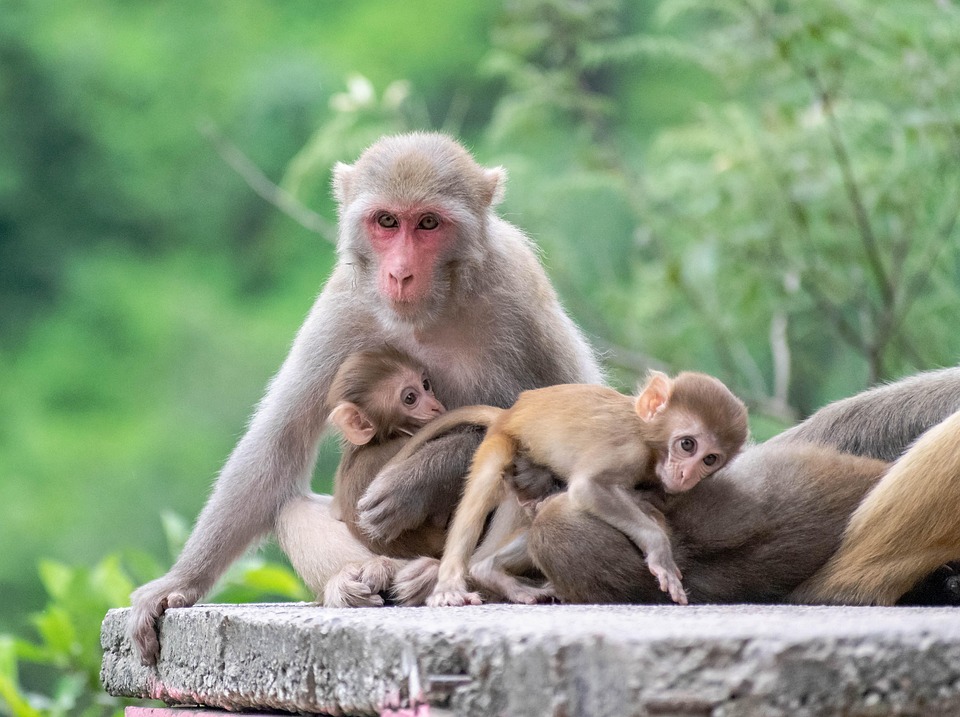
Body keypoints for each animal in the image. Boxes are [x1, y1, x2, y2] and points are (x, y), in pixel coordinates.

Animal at [128, 132, 604, 664]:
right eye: (387, 222)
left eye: (428, 223)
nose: (399, 274)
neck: (430, 312)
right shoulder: (345, 302)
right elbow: (279, 443)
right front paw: (179, 582)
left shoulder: (521, 291)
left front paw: (419, 480)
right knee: (291, 508)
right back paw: (362, 577)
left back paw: (438, 578)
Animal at [390, 371, 748, 608]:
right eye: (688, 445)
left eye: (710, 459)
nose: (687, 475)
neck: (646, 435)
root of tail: (512, 411)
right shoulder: (628, 450)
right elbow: (588, 489)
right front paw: (659, 550)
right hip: (501, 439)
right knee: (489, 480)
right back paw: (450, 583)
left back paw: (489, 570)